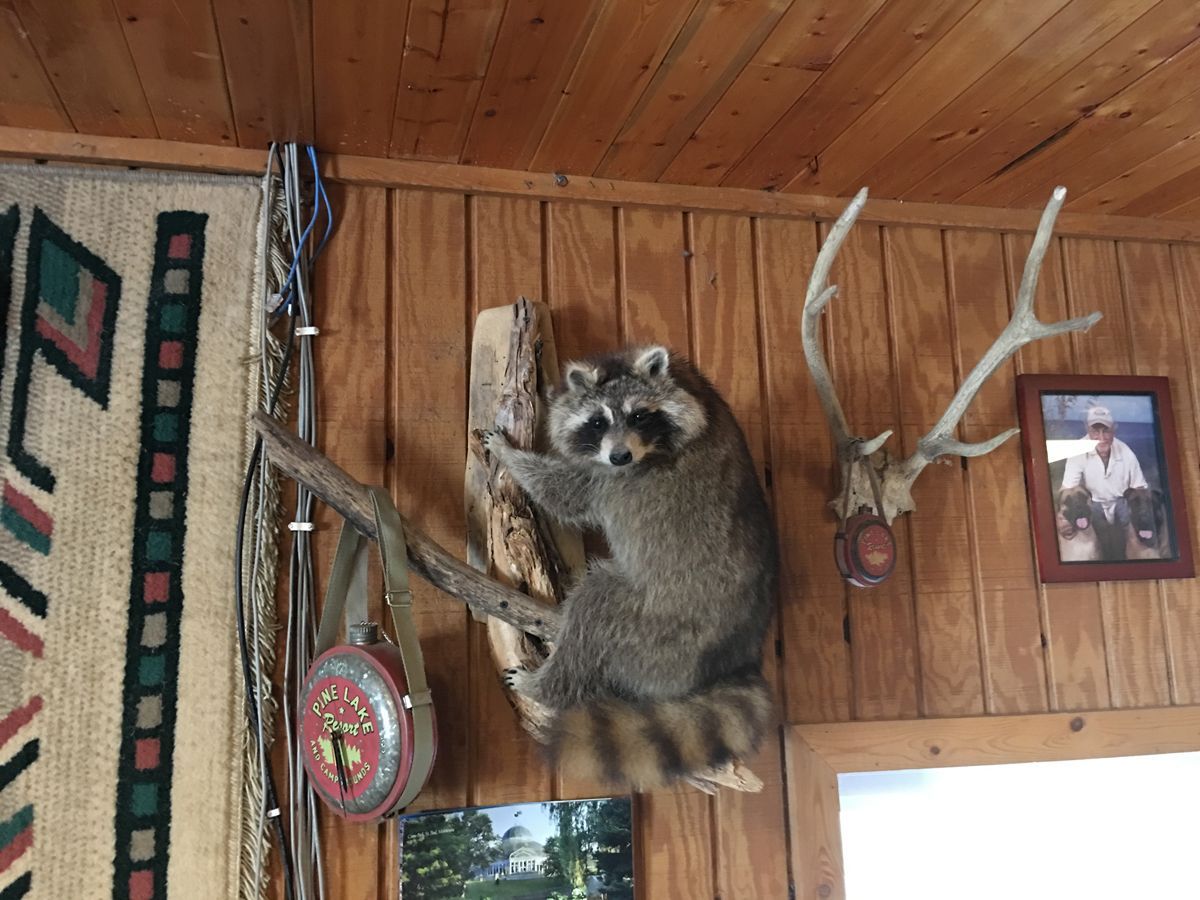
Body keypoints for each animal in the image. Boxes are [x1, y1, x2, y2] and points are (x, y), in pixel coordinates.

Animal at [482, 345, 778, 791]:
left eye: (639, 415)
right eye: (598, 421)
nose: (620, 455)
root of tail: (737, 658)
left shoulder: (607, 480)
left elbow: (562, 493)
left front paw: (512, 456)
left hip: (655, 626)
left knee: (593, 606)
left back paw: (546, 685)